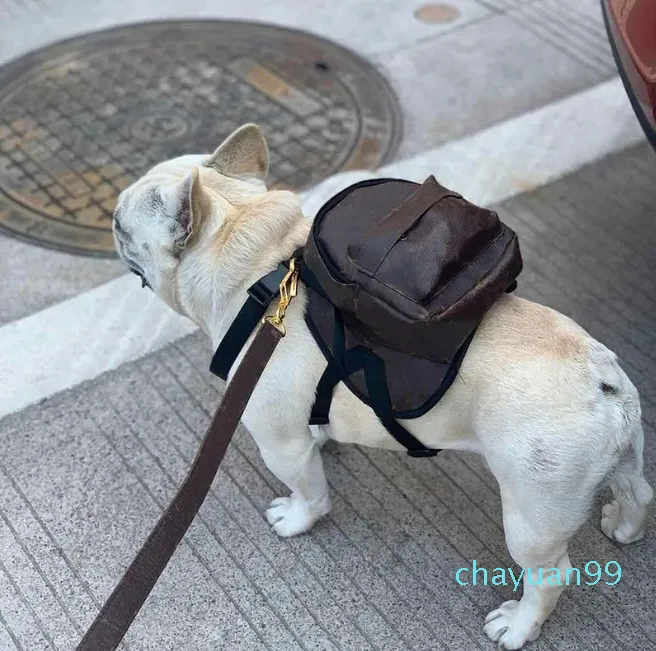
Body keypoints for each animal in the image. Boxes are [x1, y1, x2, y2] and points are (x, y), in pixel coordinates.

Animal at [111, 125, 652, 648]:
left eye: (120, 224)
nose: (111, 218)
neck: (257, 271)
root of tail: (603, 379)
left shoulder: (280, 443)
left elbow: (309, 490)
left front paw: (298, 519)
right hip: (615, 460)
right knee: (636, 491)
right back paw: (622, 528)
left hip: (532, 513)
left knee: (550, 575)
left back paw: (518, 627)